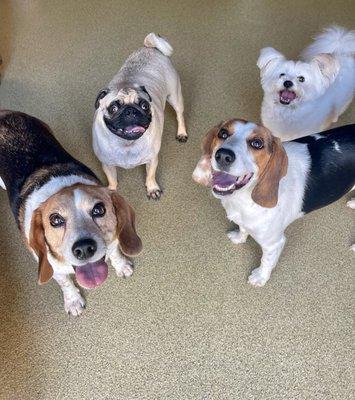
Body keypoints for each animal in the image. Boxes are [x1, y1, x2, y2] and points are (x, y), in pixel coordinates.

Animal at [0, 111, 142, 314]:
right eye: (55, 220)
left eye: (99, 209)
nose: (84, 249)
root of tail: (5, 113)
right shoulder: (53, 267)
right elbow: (65, 283)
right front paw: (73, 300)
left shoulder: (115, 238)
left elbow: (115, 252)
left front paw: (121, 266)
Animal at [92, 32, 189, 198]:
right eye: (113, 108)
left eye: (144, 105)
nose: (131, 111)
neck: (127, 144)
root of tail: (151, 47)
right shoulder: (107, 164)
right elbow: (112, 179)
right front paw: (111, 190)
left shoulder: (152, 159)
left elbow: (150, 175)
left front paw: (152, 189)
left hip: (174, 96)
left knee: (179, 115)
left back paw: (181, 132)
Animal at [195, 120, 355, 286]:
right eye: (223, 133)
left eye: (257, 143)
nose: (223, 155)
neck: (244, 199)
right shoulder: (244, 220)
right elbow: (243, 228)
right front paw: (239, 238)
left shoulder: (274, 244)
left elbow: (266, 261)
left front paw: (260, 277)